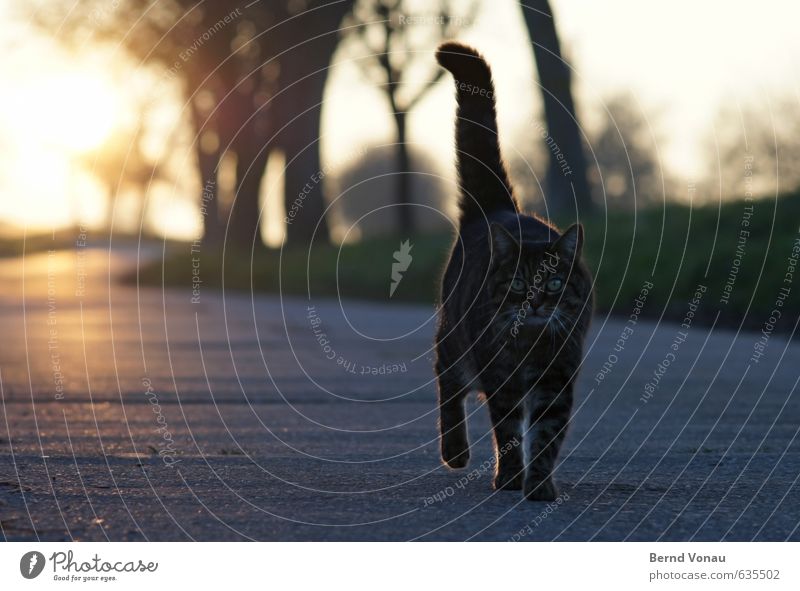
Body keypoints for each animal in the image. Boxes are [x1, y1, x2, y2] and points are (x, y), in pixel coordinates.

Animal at [432, 44, 592, 502]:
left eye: (554, 282)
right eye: (519, 283)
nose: (536, 302)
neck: (530, 347)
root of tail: (496, 209)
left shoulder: (556, 380)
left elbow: (546, 436)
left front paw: (538, 484)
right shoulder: (500, 378)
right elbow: (508, 432)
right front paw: (509, 478)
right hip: (454, 340)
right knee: (449, 386)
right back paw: (455, 452)